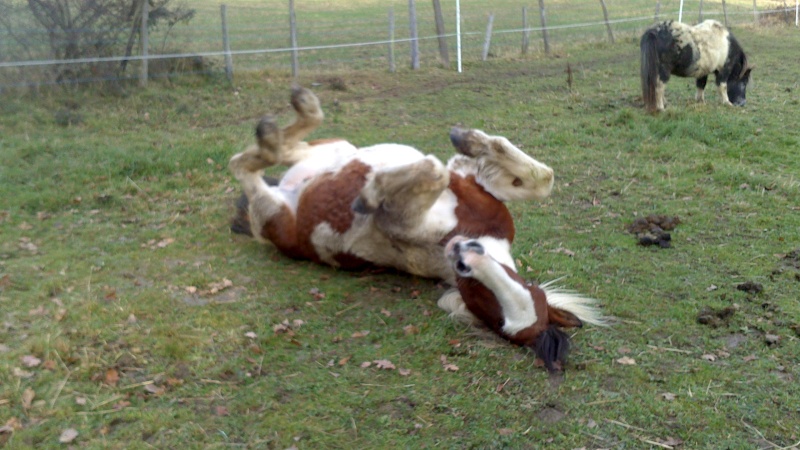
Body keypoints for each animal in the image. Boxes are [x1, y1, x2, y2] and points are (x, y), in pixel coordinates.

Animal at [228, 86, 604, 370]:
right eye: (527, 285)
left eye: (494, 311)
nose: (465, 255)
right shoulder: (473, 182)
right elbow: (539, 178)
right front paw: (467, 138)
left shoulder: (400, 217)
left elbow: (434, 170)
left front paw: (370, 192)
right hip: (335, 148)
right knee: (283, 149)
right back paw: (296, 111)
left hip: (272, 207)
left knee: (247, 163)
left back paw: (274, 132)